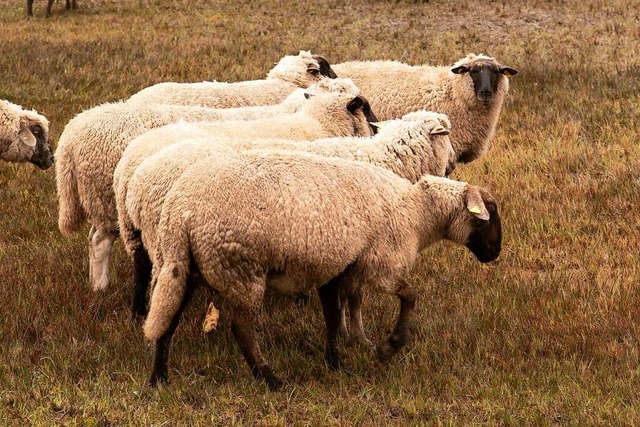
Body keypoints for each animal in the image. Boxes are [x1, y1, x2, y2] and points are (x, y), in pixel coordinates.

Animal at [142, 150, 502, 392]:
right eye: (490, 212)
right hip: (241, 268)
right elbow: (409, 297)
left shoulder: (339, 268)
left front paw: (339, 360)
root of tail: (182, 213)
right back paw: (270, 379)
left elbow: (335, 315)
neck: (415, 213)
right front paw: (389, 346)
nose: (495, 253)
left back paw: (160, 378)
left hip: (183, 267)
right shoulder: (380, 262)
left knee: (167, 322)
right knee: (242, 330)